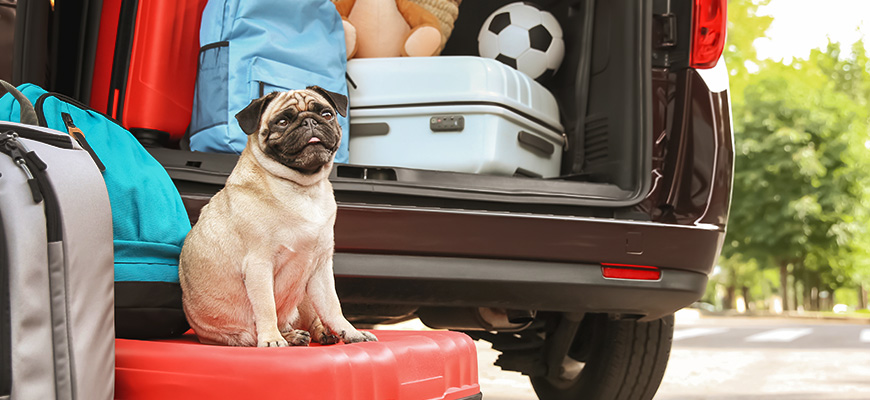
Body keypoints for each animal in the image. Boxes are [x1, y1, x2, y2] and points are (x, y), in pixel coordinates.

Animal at [179, 86, 376, 346]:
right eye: (282, 122)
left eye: (326, 114)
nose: (309, 121)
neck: (304, 188)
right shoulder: (259, 265)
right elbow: (266, 307)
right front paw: (271, 339)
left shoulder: (321, 268)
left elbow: (333, 307)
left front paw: (352, 333)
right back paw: (287, 335)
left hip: (305, 296)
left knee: (313, 318)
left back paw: (319, 333)